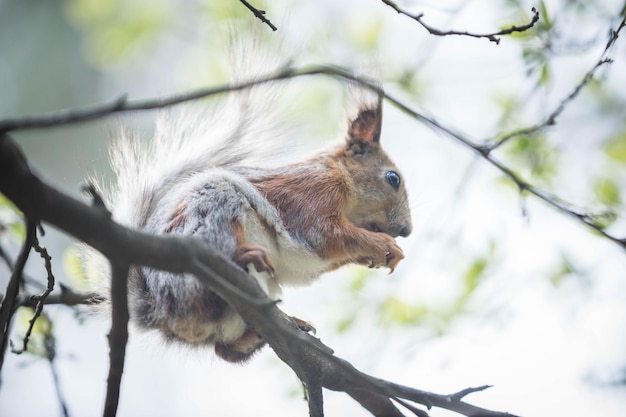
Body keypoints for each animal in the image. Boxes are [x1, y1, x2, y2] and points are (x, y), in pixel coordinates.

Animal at [84, 46, 414, 364]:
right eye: (393, 178)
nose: (406, 230)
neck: (342, 178)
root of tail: (160, 310)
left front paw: (379, 254)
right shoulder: (311, 194)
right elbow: (323, 234)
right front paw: (382, 244)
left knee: (224, 350)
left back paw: (268, 332)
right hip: (212, 214)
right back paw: (242, 257)